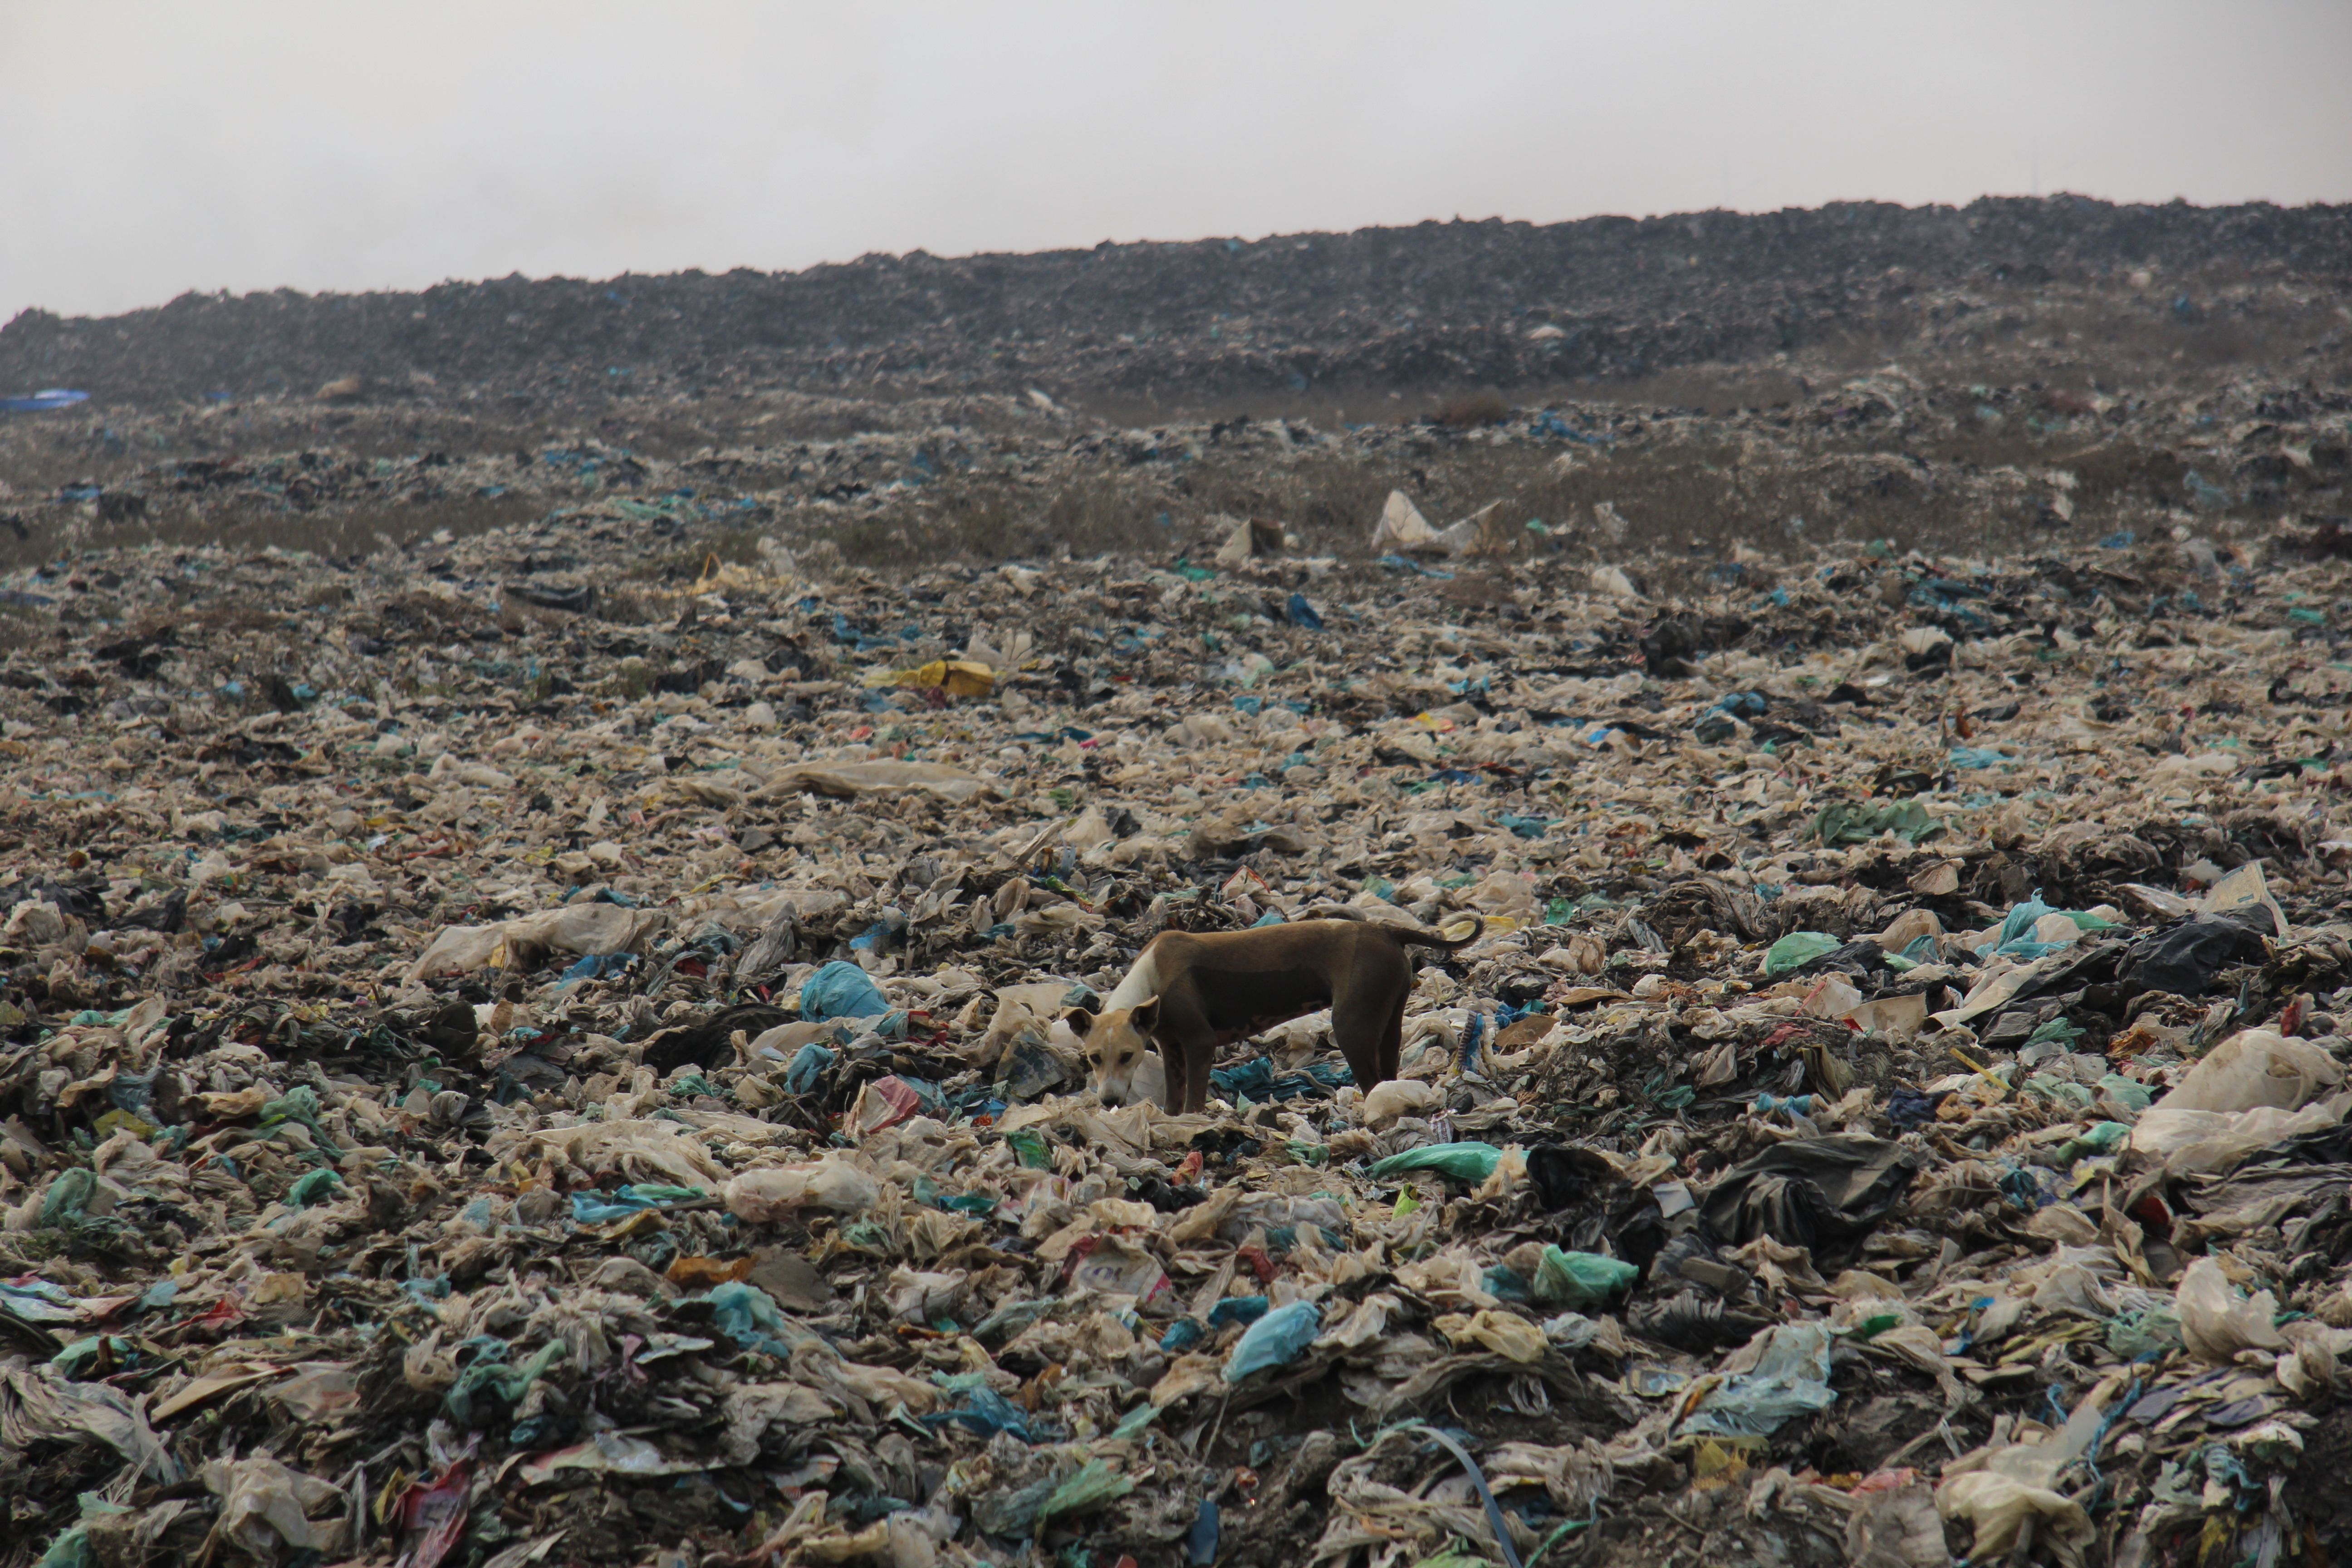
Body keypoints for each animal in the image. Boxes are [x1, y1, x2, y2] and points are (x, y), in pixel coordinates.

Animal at [1072, 912, 1486, 1123]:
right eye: (1094, 1058)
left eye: (1127, 1056)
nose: (1109, 1100)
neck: (1150, 978)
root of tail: (1386, 929)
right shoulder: (1171, 1046)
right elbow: (1174, 1097)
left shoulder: (1199, 1043)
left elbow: (1194, 1098)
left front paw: (1194, 1122)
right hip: (1389, 1015)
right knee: (1387, 1070)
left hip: (1352, 1025)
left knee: (1370, 1080)